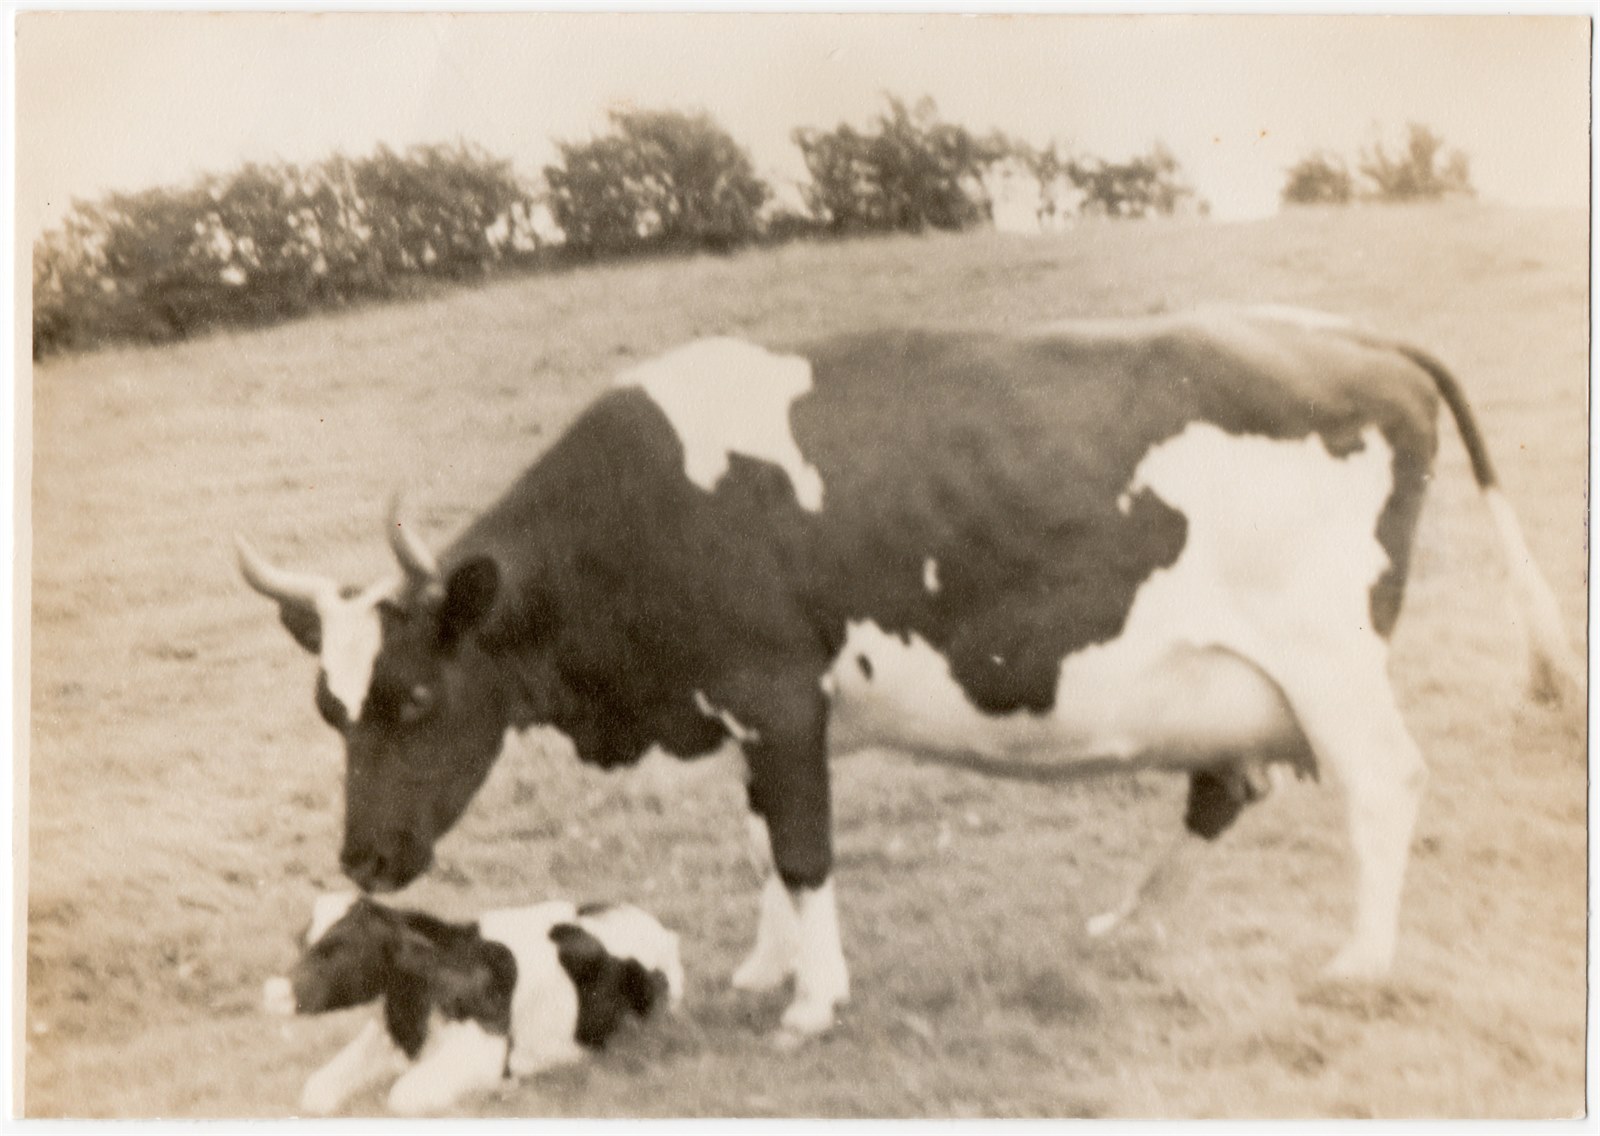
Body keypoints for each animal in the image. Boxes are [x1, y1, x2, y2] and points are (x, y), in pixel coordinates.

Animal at [237, 307, 1580, 1041]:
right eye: (327, 705)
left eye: (415, 697)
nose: (364, 857)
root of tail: (1340, 332)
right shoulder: (764, 712)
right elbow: (763, 836)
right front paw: (768, 965)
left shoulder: (779, 691)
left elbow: (798, 846)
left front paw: (813, 998)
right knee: (1226, 792)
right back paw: (1127, 923)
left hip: (1328, 655)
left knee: (1381, 782)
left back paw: (1362, 959)